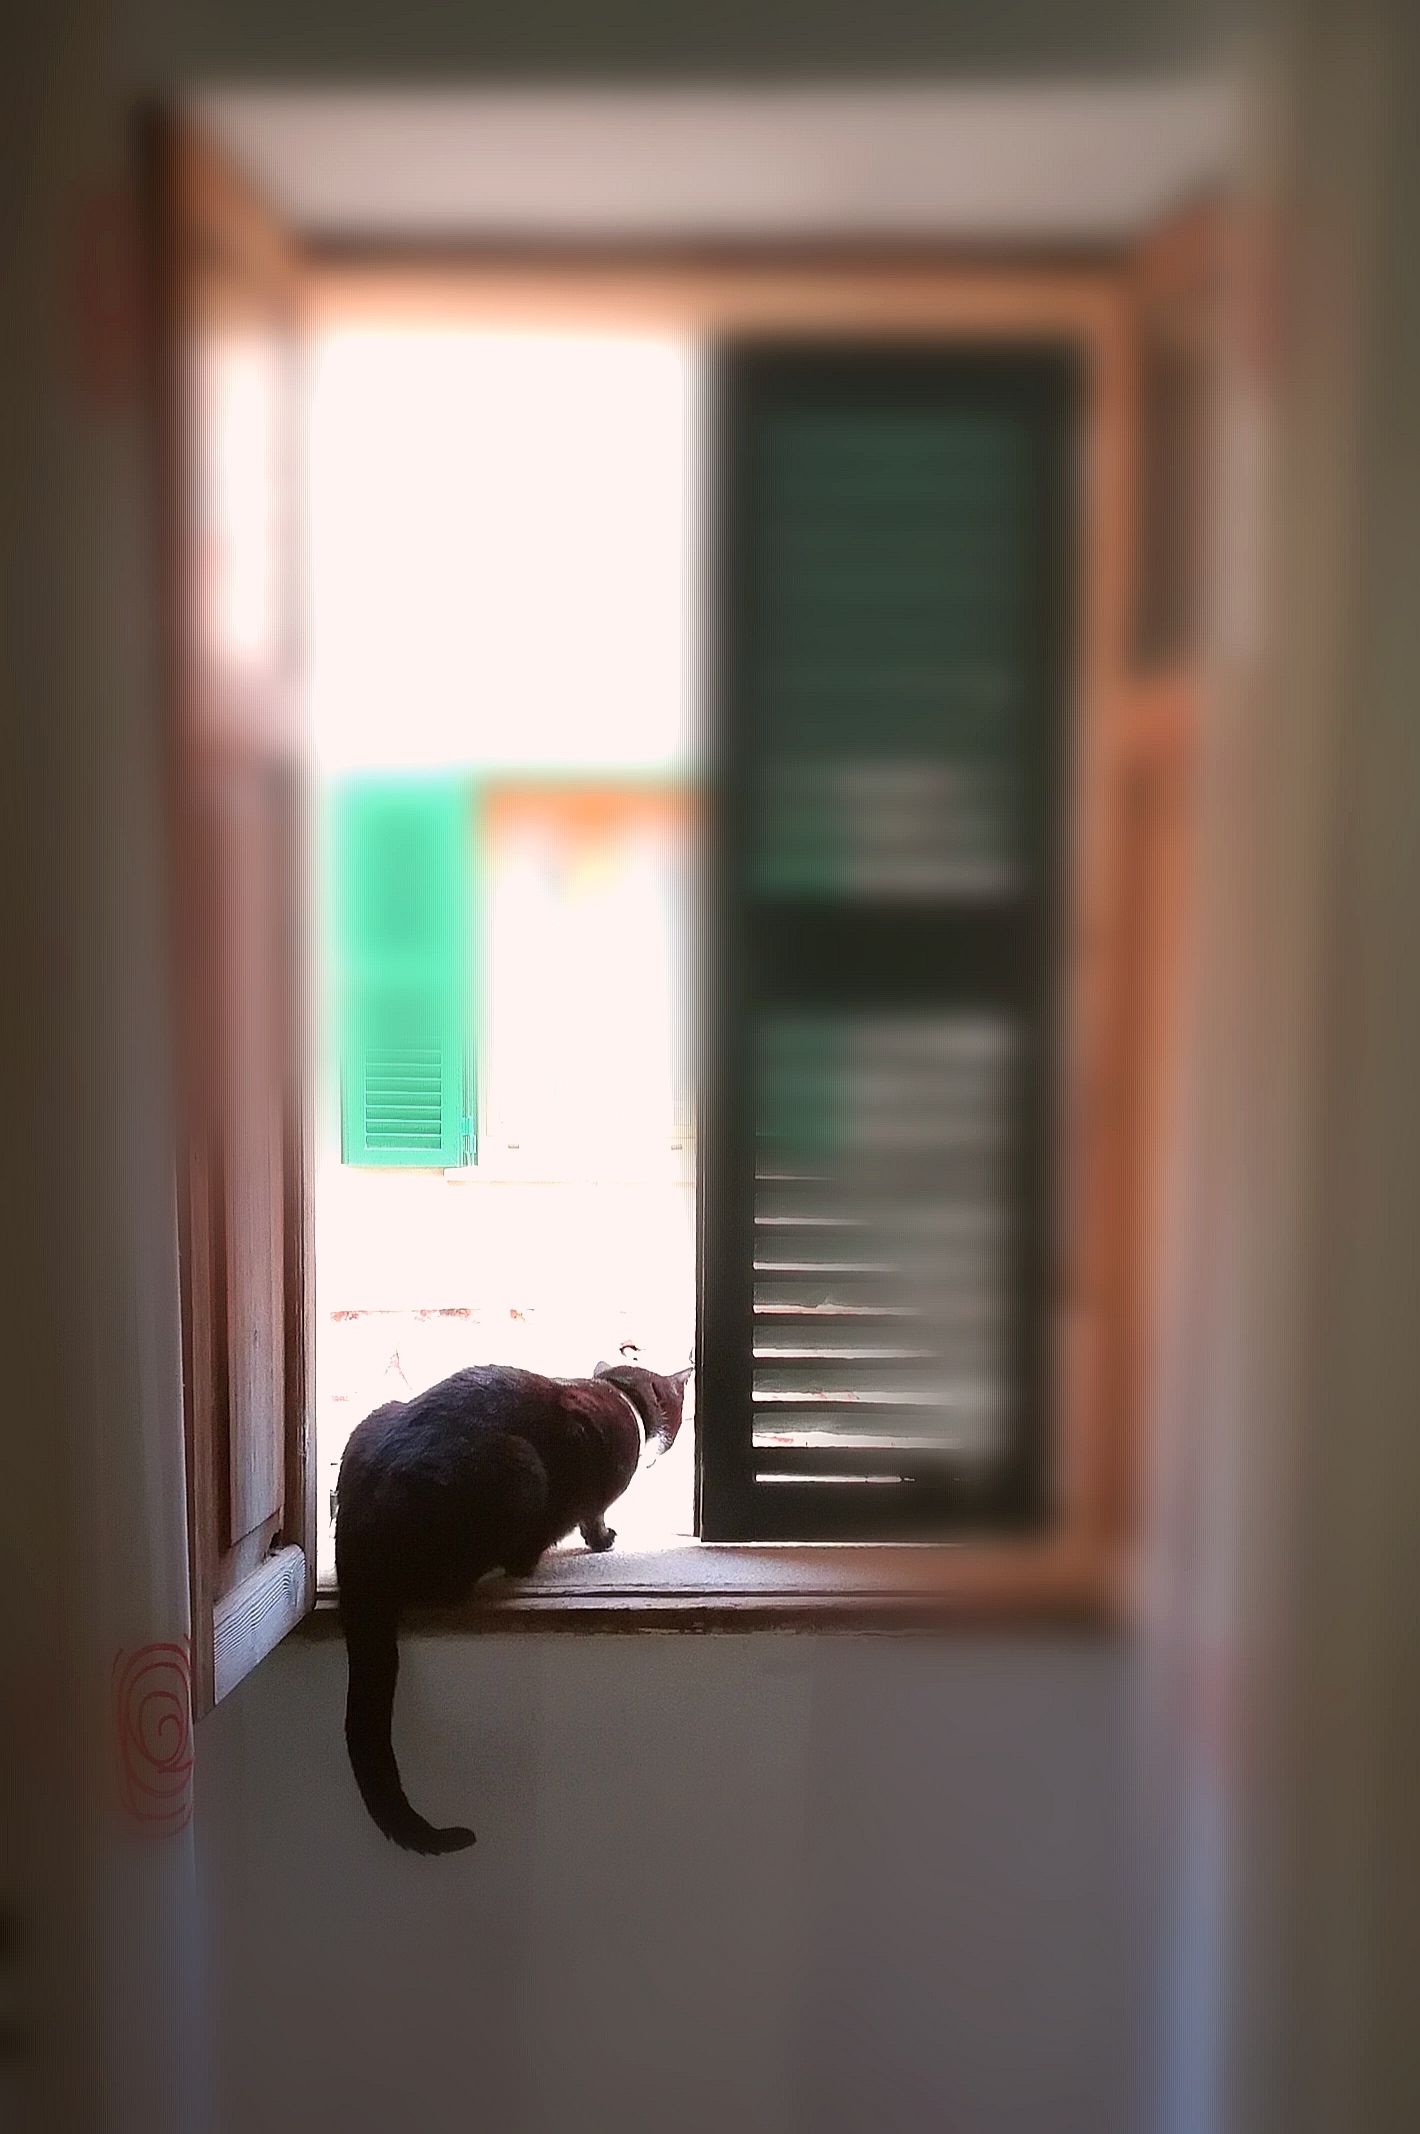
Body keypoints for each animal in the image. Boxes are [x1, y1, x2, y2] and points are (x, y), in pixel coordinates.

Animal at [335, 1357, 691, 1855]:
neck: (619, 1395)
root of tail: (358, 1530)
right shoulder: (579, 1490)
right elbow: (582, 1521)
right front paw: (593, 1543)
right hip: (521, 1468)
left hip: (376, 1418)